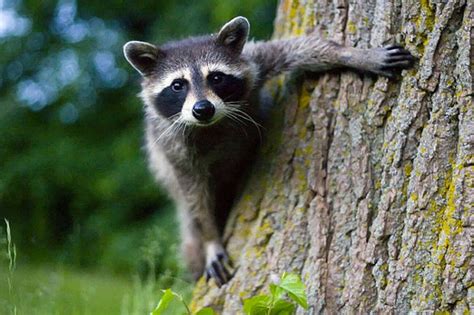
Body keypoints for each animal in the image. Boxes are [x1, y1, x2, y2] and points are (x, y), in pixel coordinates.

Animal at [123, 16, 414, 288]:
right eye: (177, 85)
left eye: (216, 78)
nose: (202, 109)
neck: (212, 125)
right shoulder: (174, 147)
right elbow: (195, 196)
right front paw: (211, 240)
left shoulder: (254, 62)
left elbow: (298, 48)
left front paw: (356, 55)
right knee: (191, 234)